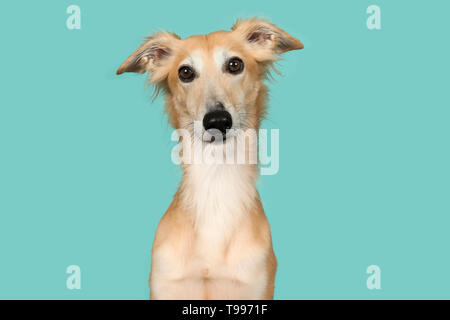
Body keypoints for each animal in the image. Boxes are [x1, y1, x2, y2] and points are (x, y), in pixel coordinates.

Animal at [118, 18, 304, 300]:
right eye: (185, 72)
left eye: (235, 64)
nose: (217, 121)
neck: (217, 177)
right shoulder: (165, 283)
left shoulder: (256, 285)